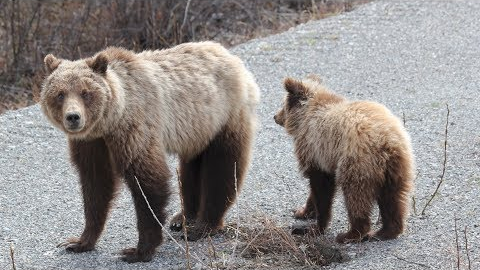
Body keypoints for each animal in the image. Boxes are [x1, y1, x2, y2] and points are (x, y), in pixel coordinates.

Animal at [40, 41, 258, 262]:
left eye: (86, 93)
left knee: (222, 169)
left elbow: (147, 183)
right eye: (60, 94)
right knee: (191, 169)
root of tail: (227, 54)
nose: (73, 117)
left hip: (225, 116)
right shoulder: (91, 143)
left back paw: (202, 227)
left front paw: (138, 251)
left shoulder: (134, 129)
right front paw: (78, 242)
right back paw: (182, 218)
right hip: (196, 131)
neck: (110, 121)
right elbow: (96, 185)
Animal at [276, 75, 414, 243]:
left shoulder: (316, 149)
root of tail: (388, 141)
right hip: (397, 168)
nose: (275, 116)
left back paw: (350, 234)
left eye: (282, 104)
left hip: (357, 162)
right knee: (393, 198)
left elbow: (321, 186)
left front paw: (315, 226)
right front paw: (302, 211)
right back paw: (385, 231)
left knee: (356, 195)